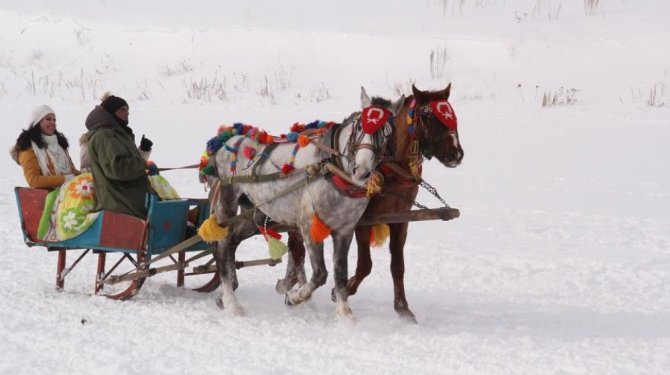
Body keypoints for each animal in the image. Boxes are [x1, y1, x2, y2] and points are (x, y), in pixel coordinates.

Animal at [210, 89, 404, 320]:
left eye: (387, 134)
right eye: (359, 127)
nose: (361, 171)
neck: (331, 168)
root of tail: (227, 141)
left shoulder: (344, 231)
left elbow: (340, 273)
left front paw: (345, 314)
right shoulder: (309, 226)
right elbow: (320, 274)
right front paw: (294, 297)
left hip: (252, 212)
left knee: (232, 242)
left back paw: (224, 295)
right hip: (227, 204)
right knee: (222, 247)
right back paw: (232, 303)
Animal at [276, 83, 464, 324]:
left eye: (452, 113)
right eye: (428, 116)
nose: (456, 154)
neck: (391, 170)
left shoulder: (400, 221)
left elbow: (397, 265)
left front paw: (402, 308)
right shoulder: (362, 222)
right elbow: (365, 264)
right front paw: (342, 290)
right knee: (297, 245)